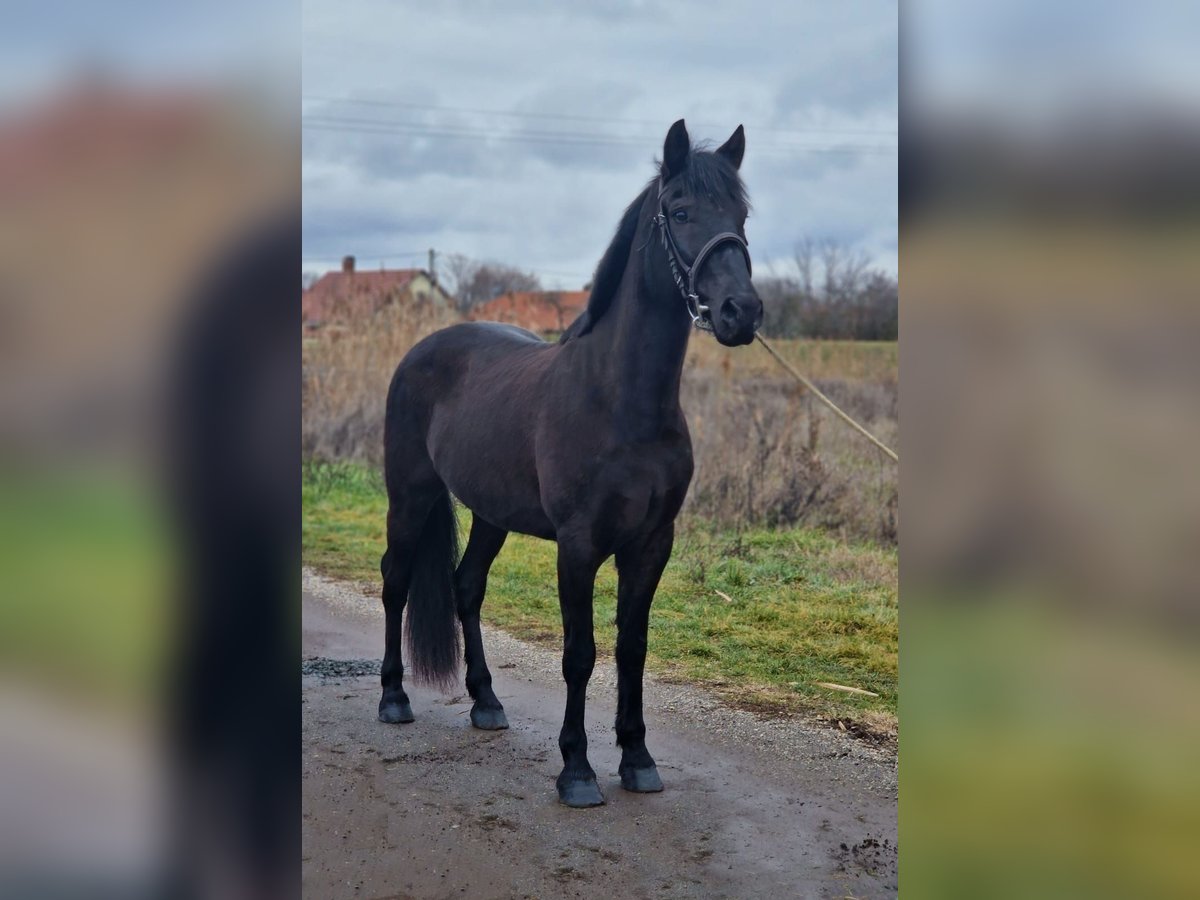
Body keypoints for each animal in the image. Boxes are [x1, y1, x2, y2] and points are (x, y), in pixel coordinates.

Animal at [379, 121, 763, 811]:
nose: (739, 313)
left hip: (491, 514)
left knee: (465, 586)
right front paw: (577, 770)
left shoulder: (651, 543)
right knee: (395, 580)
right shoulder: (578, 545)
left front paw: (637, 759)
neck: (622, 403)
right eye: (680, 211)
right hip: (410, 495)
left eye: (741, 216)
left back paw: (486, 702)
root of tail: (423, 348)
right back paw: (393, 697)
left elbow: (632, 647)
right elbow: (579, 653)